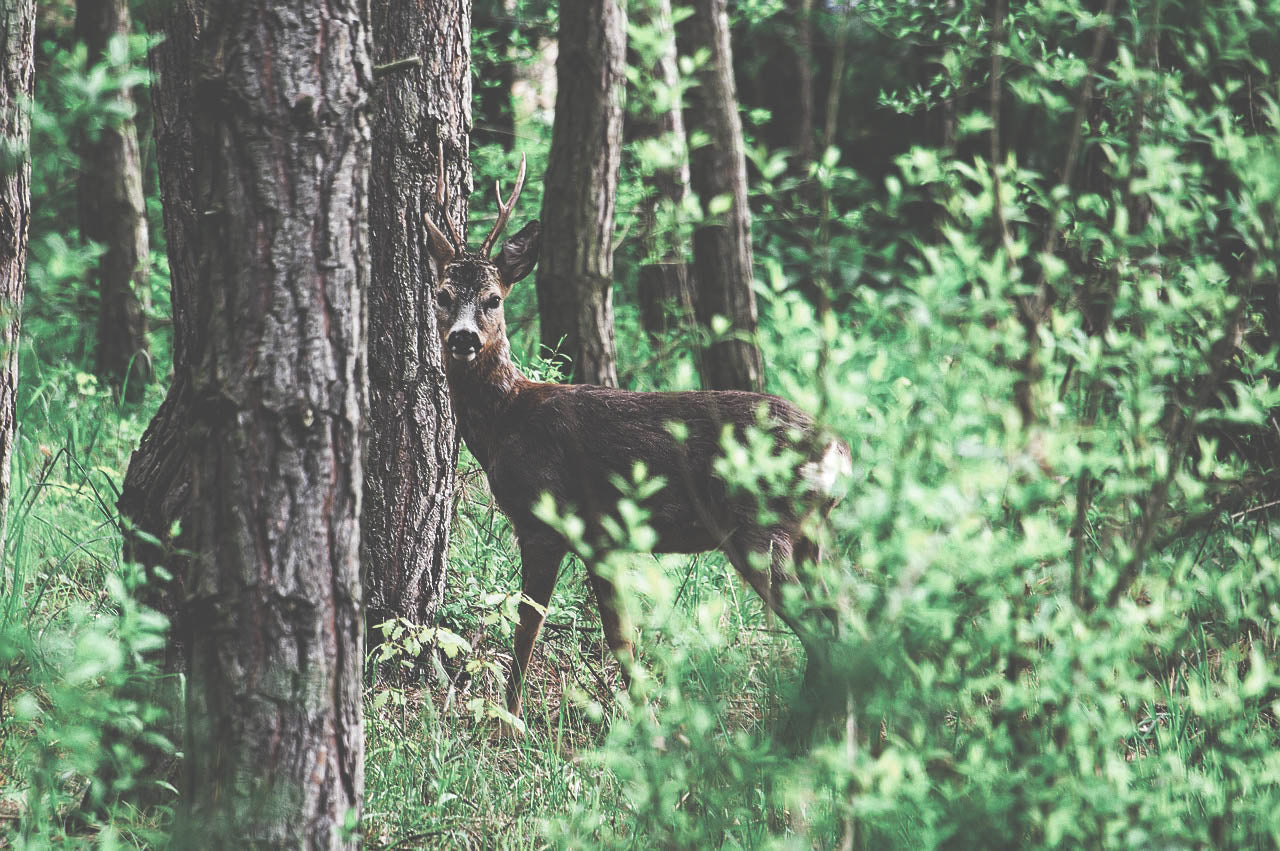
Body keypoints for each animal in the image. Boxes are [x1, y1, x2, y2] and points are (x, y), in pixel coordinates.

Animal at [424, 151, 855, 721]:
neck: (508, 419)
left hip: (763, 529)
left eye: (493, 299)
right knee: (842, 622)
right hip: (809, 535)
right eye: (443, 294)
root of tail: (838, 453)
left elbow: (528, 625)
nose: (463, 338)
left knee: (825, 631)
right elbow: (621, 635)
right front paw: (643, 716)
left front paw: (509, 718)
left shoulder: (546, 519)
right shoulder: (601, 536)